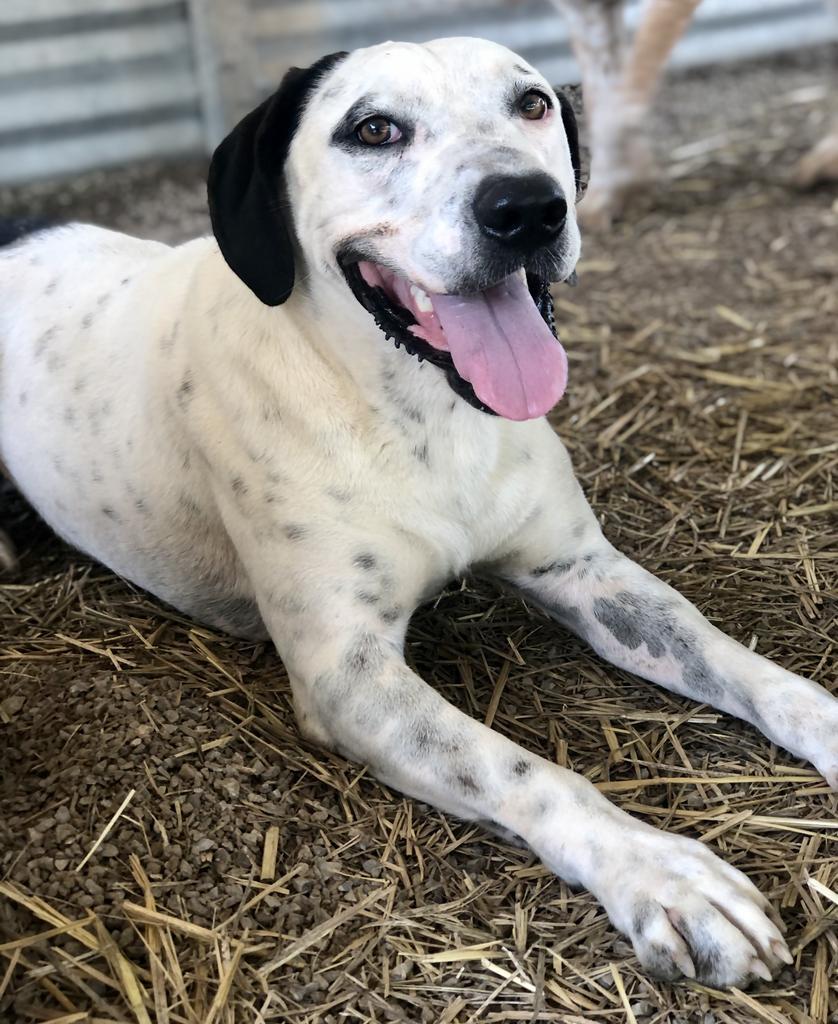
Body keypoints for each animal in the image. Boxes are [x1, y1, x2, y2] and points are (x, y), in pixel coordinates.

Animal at [1, 36, 835, 987]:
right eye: (373, 129)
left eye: (532, 103)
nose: (528, 208)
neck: (422, 413)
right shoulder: (349, 674)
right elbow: (521, 771)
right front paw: (662, 871)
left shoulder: (586, 572)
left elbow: (744, 664)